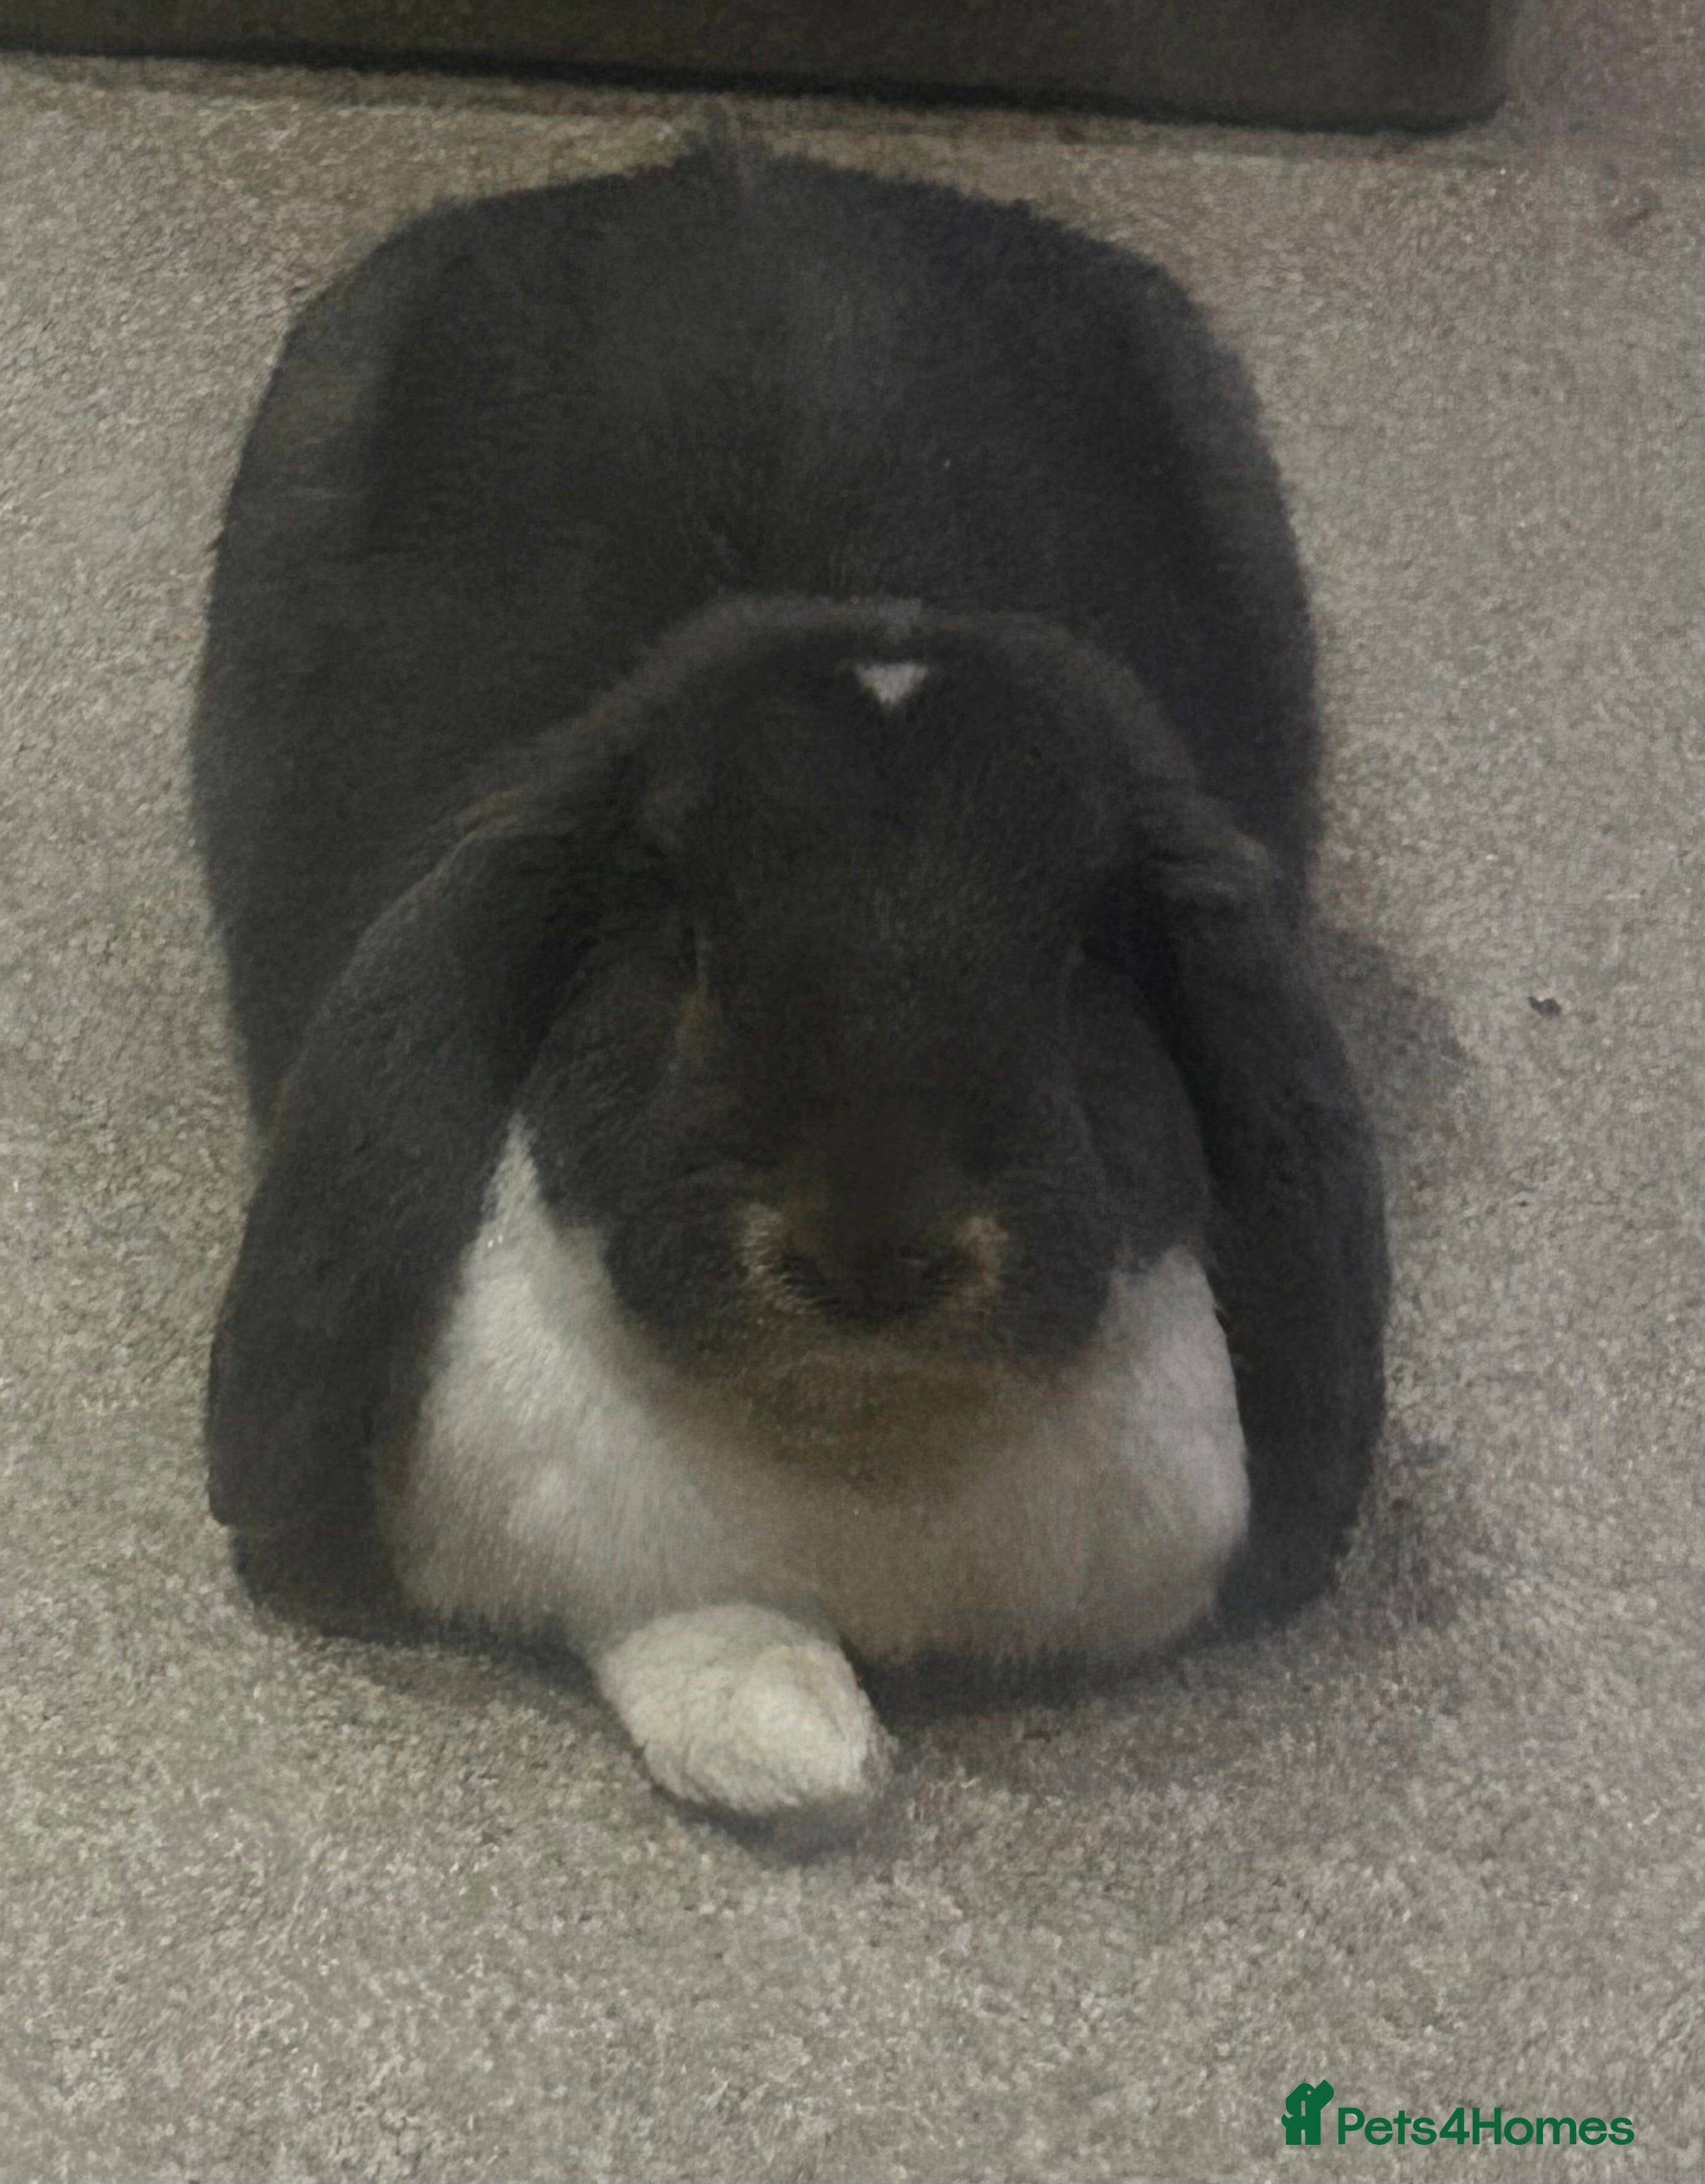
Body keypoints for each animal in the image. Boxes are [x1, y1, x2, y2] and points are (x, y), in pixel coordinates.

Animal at [194, 140, 1388, 1836]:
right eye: (682, 937)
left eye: (1083, 960)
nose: (872, 1249)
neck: (858, 1429)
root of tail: (736, 165)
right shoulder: (615, 1563)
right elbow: (707, 1646)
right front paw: (812, 1748)